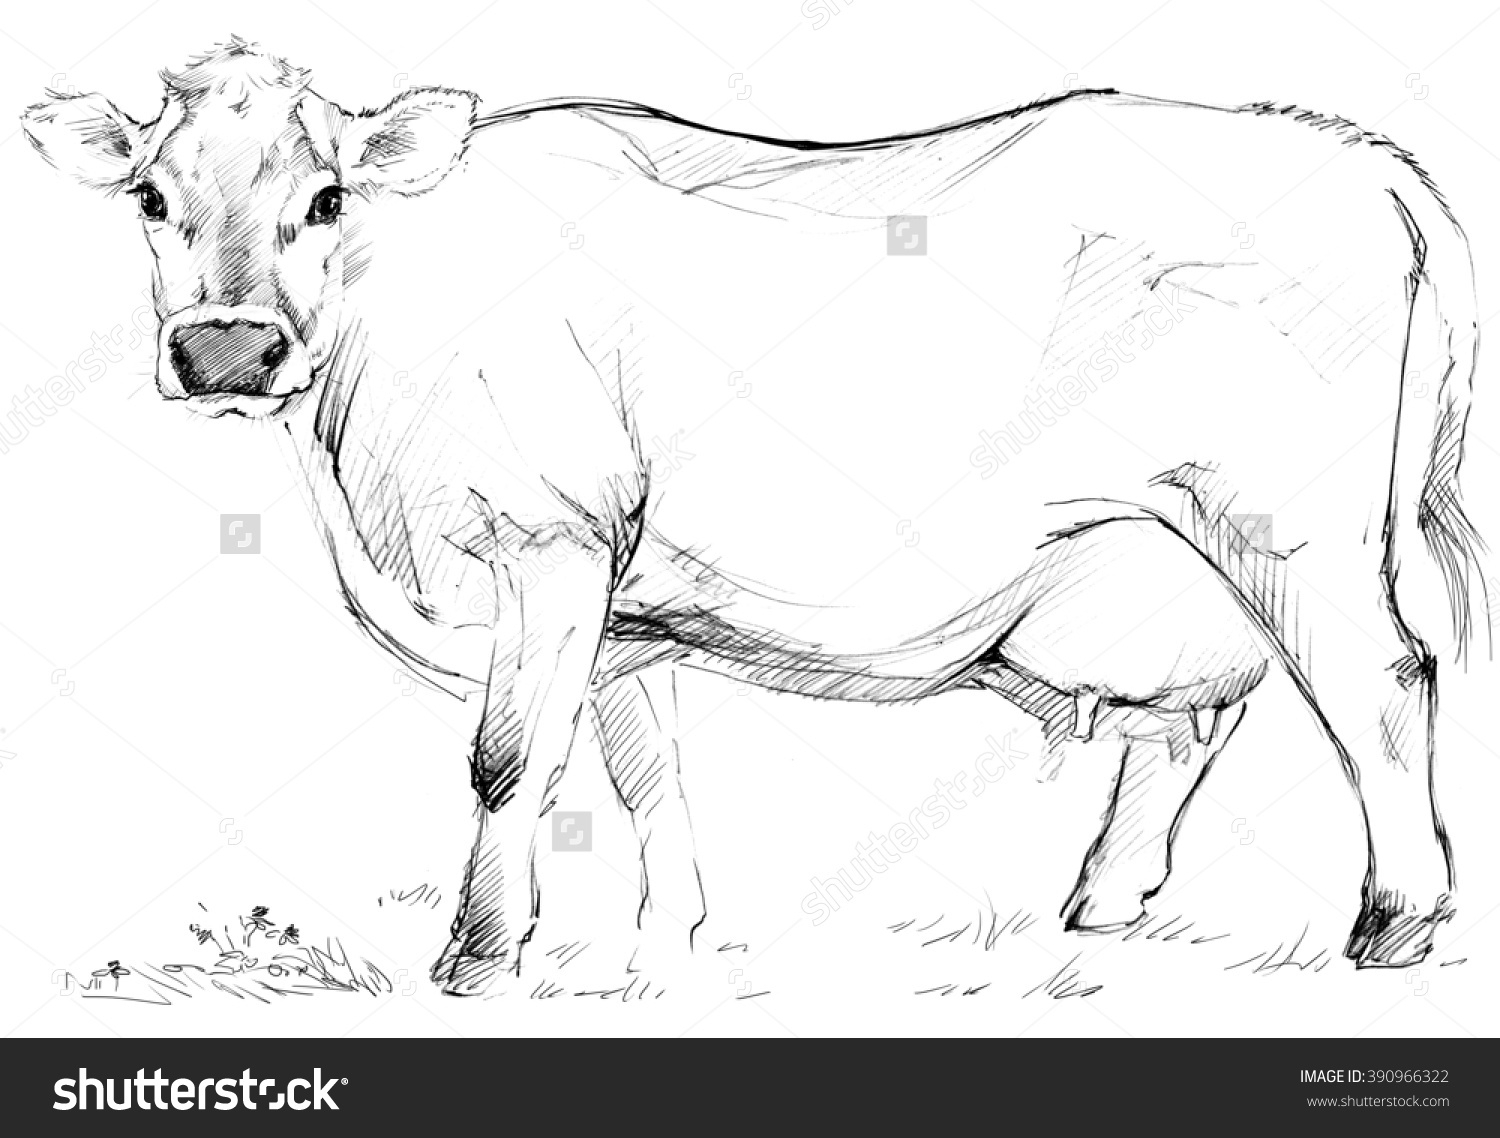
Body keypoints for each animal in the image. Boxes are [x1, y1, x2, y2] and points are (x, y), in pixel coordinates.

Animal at [23, 38, 1484, 994]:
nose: (225, 348)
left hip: (1295, 528)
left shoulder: (550, 540)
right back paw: (1102, 908)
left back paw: (1396, 921)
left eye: (326, 198)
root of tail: (1350, 150)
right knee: (1197, 716)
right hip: (1167, 556)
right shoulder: (627, 606)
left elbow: (509, 759)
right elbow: (645, 770)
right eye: (152, 198)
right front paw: (672, 940)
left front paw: (479, 959)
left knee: (1384, 678)